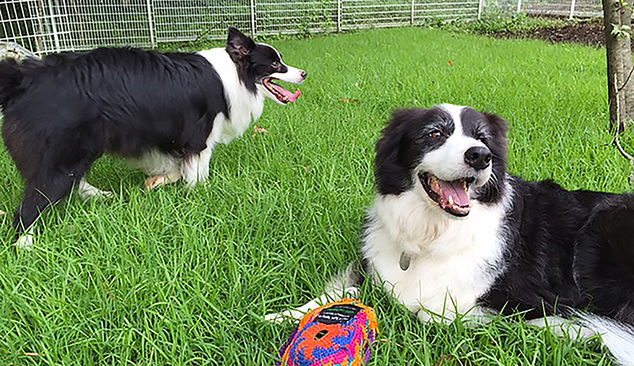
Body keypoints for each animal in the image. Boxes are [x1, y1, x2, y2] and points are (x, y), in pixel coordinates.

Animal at [0, 27, 306, 247]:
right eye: (276, 64)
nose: (303, 73)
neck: (233, 71)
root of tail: (24, 77)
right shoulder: (199, 137)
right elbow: (197, 172)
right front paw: (201, 195)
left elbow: (175, 167)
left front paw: (159, 181)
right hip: (61, 154)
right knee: (30, 205)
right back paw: (25, 243)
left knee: (73, 180)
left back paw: (99, 195)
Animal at [270, 104, 632, 364]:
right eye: (433, 134)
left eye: (482, 138)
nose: (480, 156)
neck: (432, 232)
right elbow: (343, 292)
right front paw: (283, 314)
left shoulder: (533, 298)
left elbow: (425, 312)